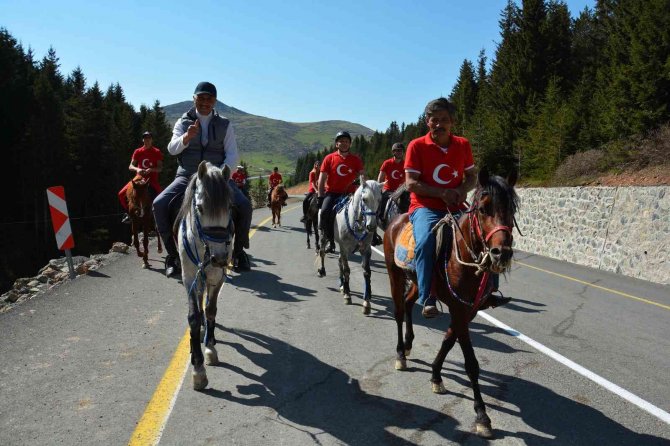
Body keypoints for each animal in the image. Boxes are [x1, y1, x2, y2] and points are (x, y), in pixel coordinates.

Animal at [177, 161, 235, 390]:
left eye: (229, 207)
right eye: (200, 208)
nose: (219, 257)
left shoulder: (217, 277)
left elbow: (211, 310)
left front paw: (210, 349)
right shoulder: (190, 278)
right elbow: (193, 317)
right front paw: (198, 369)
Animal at [316, 179, 380, 316]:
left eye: (379, 199)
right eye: (364, 199)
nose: (371, 226)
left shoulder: (366, 249)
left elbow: (367, 272)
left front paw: (367, 303)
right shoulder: (344, 248)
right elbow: (347, 270)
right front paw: (348, 295)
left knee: (339, 261)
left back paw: (342, 285)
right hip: (324, 236)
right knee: (323, 252)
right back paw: (322, 271)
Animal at [384, 169, 520, 438]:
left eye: (512, 209)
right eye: (483, 209)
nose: (502, 253)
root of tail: (396, 220)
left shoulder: (469, 310)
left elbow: (448, 339)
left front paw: (436, 375)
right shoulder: (458, 308)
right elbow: (471, 363)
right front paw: (482, 415)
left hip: (419, 283)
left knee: (409, 304)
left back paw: (409, 344)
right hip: (395, 273)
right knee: (398, 311)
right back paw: (400, 354)